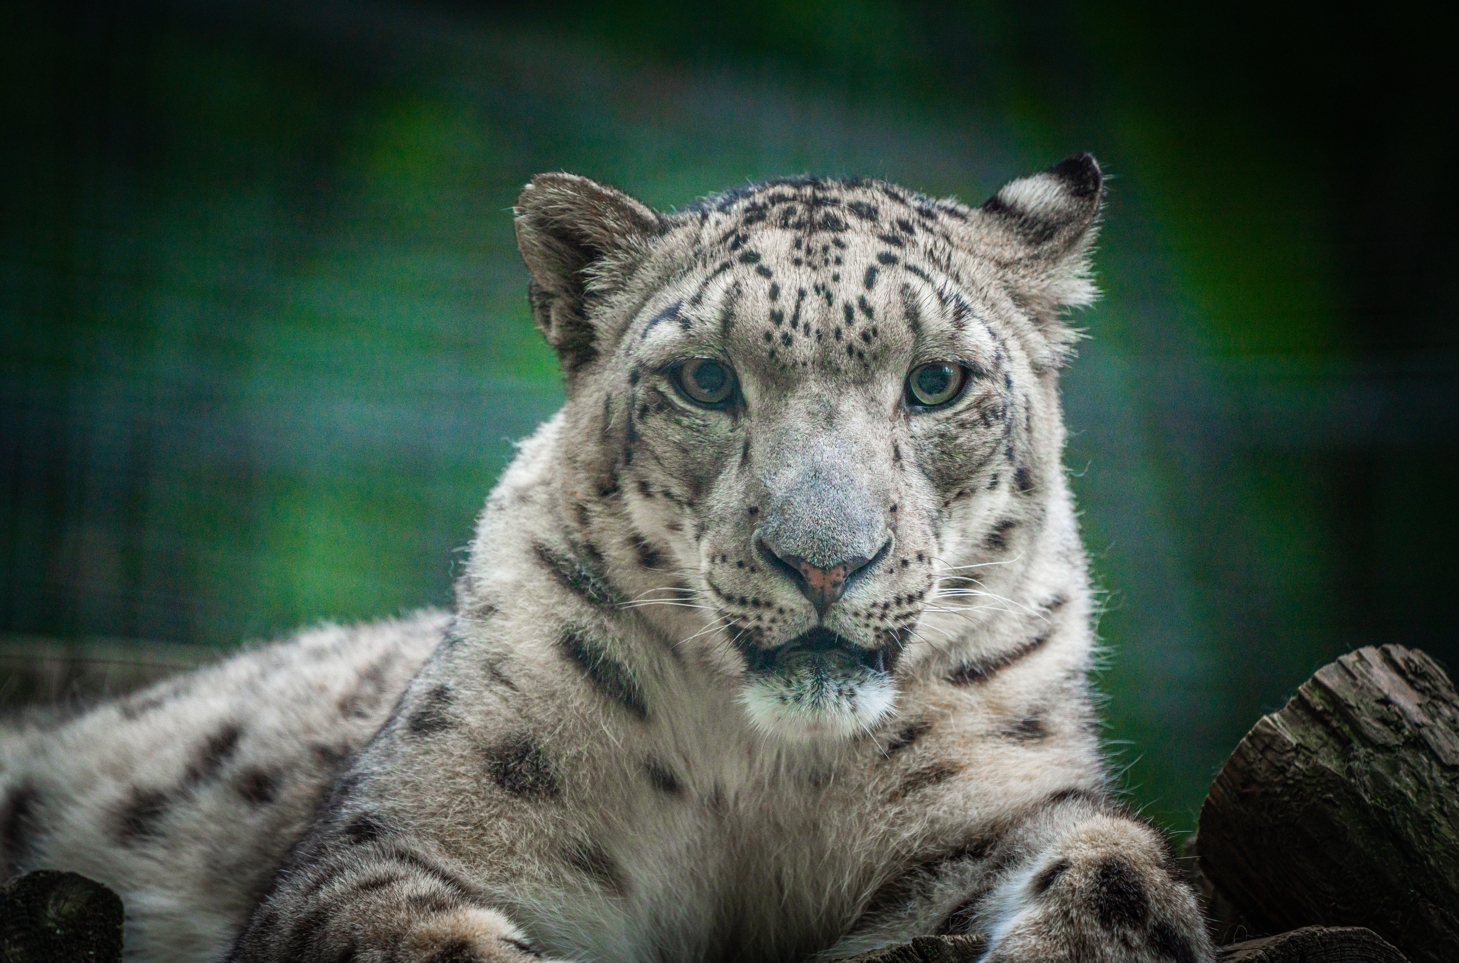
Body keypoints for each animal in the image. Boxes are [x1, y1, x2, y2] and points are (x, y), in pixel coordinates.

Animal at [1, 154, 1216, 963]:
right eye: (707, 379)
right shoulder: (391, 845)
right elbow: (420, 937)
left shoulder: (991, 811)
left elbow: (1116, 853)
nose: (824, 563)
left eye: (935, 382)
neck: (762, 773)